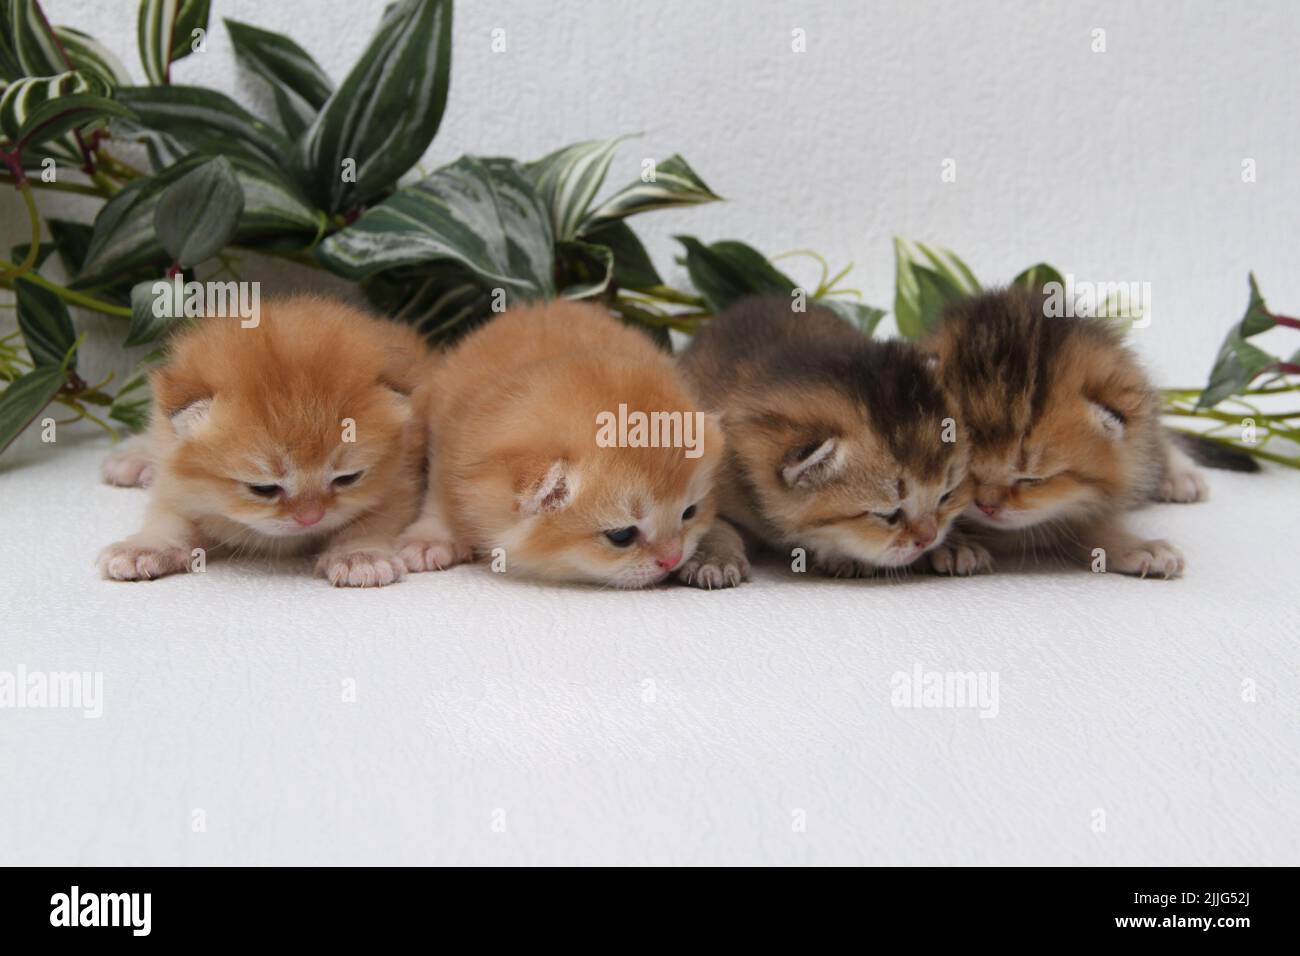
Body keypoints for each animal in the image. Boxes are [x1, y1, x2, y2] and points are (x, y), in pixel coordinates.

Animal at [102, 295, 426, 587]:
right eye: (263, 489)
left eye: (348, 479)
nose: (310, 517)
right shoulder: (176, 486)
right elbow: (168, 520)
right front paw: (146, 547)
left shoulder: (400, 484)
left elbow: (371, 522)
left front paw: (359, 556)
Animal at [395, 299, 728, 587]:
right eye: (621, 536)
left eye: (689, 513)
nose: (672, 559)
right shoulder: (444, 439)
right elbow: (438, 495)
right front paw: (431, 538)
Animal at [676, 295, 977, 587]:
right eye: (888, 515)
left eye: (946, 496)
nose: (929, 538)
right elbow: (713, 522)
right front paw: (713, 558)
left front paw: (954, 543)